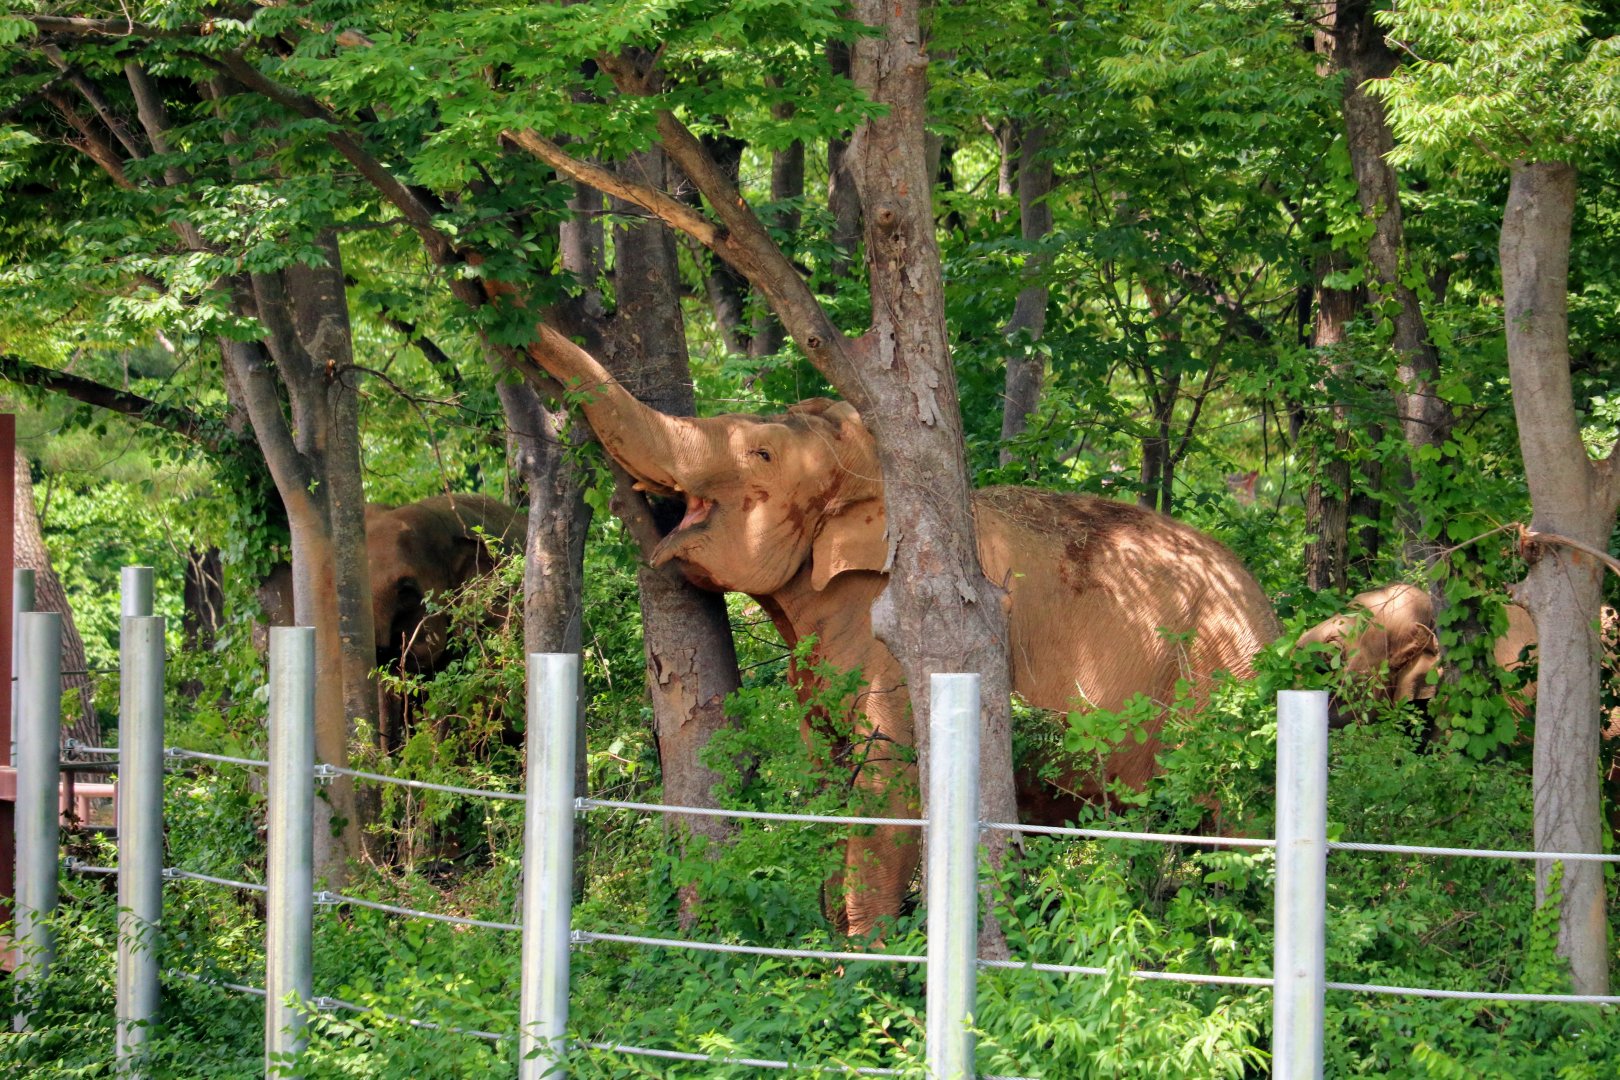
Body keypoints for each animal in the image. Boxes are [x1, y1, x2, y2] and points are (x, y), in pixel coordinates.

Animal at [527, 335, 1280, 935]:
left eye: (761, 454)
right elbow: (826, 778)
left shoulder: (907, 635)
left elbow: (888, 786)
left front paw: (861, 968)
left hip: (1226, 681)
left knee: (1239, 823)